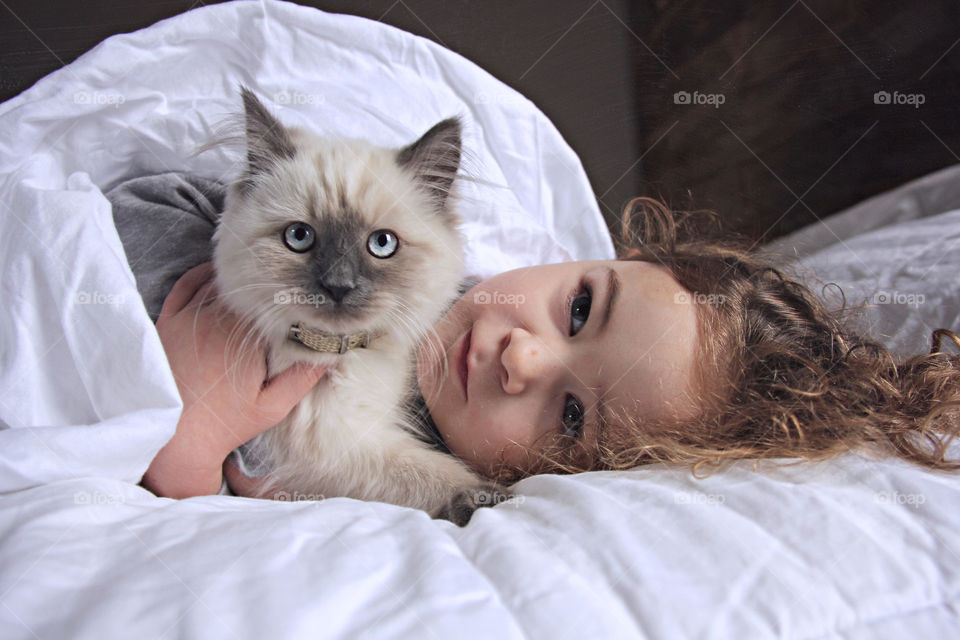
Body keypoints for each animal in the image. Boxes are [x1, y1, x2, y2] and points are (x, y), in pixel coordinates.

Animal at [211, 89, 510, 524]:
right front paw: (489, 496)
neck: (347, 352)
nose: (339, 286)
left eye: (382, 244)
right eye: (299, 237)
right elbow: (428, 473)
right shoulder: (331, 446)